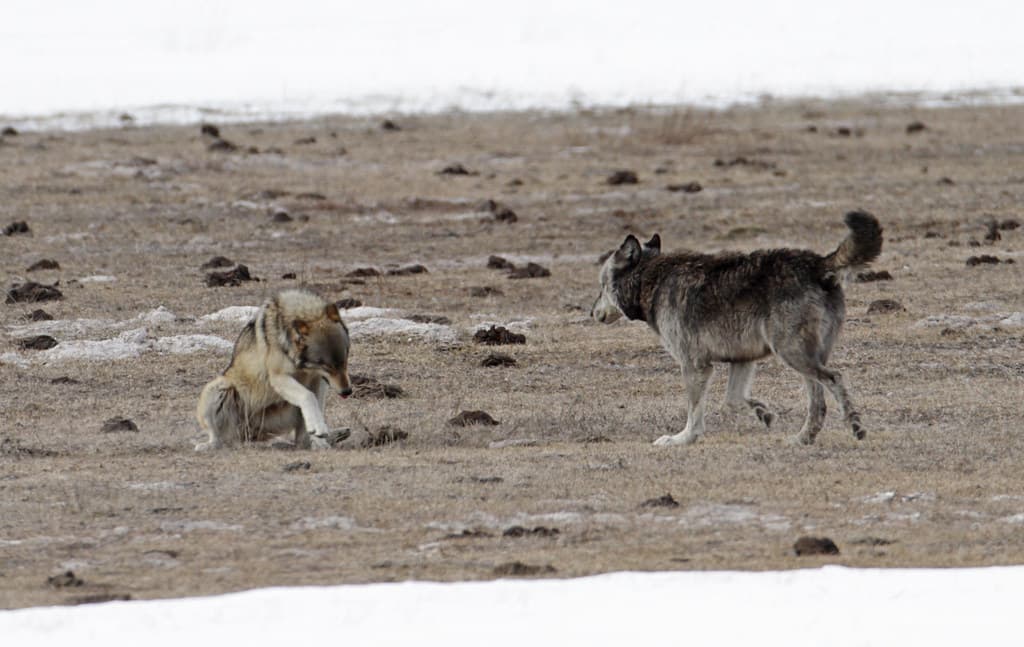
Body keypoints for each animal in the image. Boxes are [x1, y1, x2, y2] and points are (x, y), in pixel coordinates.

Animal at [195, 289, 353, 451]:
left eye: (345, 359)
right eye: (326, 366)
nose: (347, 391)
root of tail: (247, 435)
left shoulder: (318, 381)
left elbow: (316, 405)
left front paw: (319, 435)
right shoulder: (278, 377)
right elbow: (308, 396)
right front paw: (319, 429)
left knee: (300, 440)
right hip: (218, 387)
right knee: (220, 439)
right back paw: (208, 446)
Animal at [591, 211, 883, 446]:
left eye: (601, 286)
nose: (591, 312)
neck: (651, 280)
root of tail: (818, 263)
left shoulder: (694, 365)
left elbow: (694, 413)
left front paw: (682, 439)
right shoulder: (742, 359)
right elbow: (732, 400)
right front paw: (763, 413)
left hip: (794, 356)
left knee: (835, 379)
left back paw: (855, 426)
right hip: (804, 361)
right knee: (818, 403)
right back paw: (802, 439)